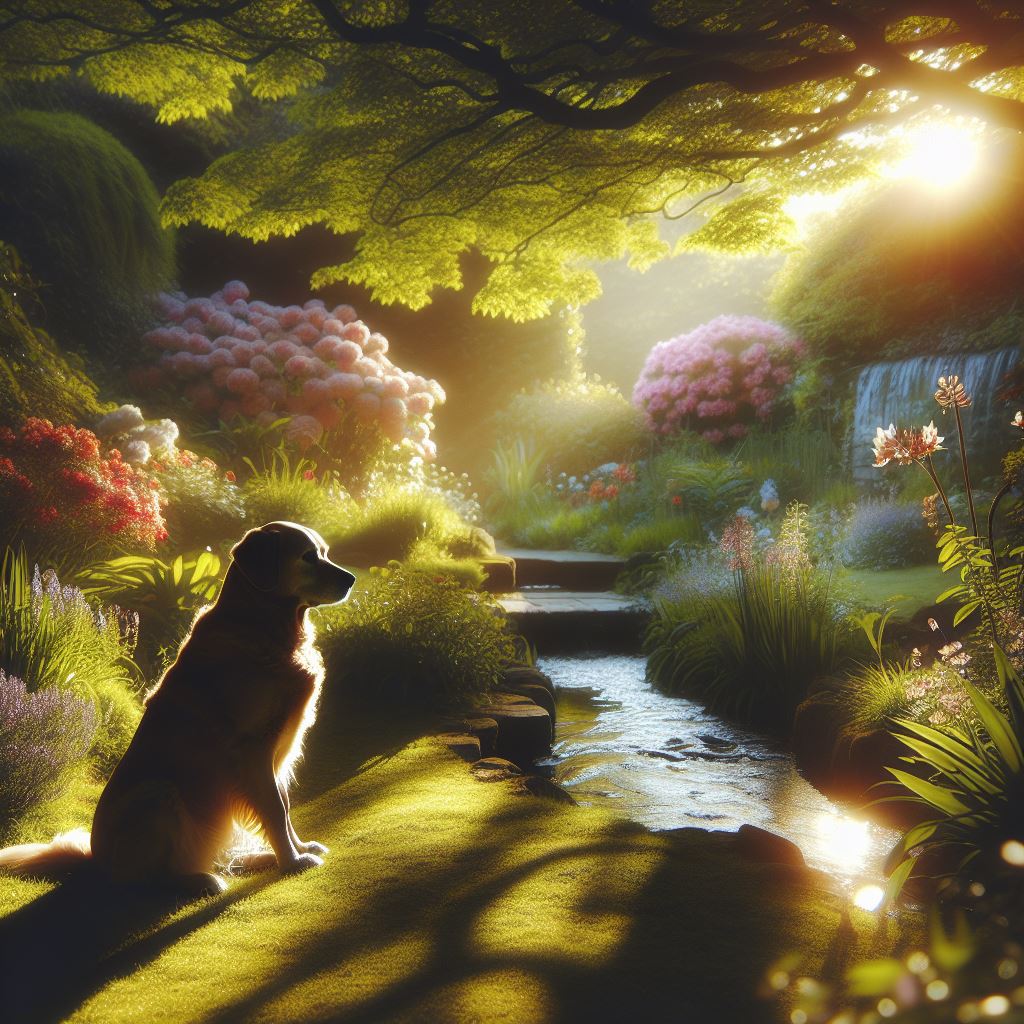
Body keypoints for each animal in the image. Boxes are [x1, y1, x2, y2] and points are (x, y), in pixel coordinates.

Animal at [0, 520, 356, 897]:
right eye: (307, 557)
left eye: (324, 553)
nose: (351, 579)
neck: (263, 626)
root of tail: (96, 861)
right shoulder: (252, 750)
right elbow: (275, 810)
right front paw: (292, 862)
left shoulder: (276, 754)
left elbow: (285, 808)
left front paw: (297, 849)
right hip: (159, 793)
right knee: (150, 881)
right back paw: (202, 879)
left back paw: (254, 858)